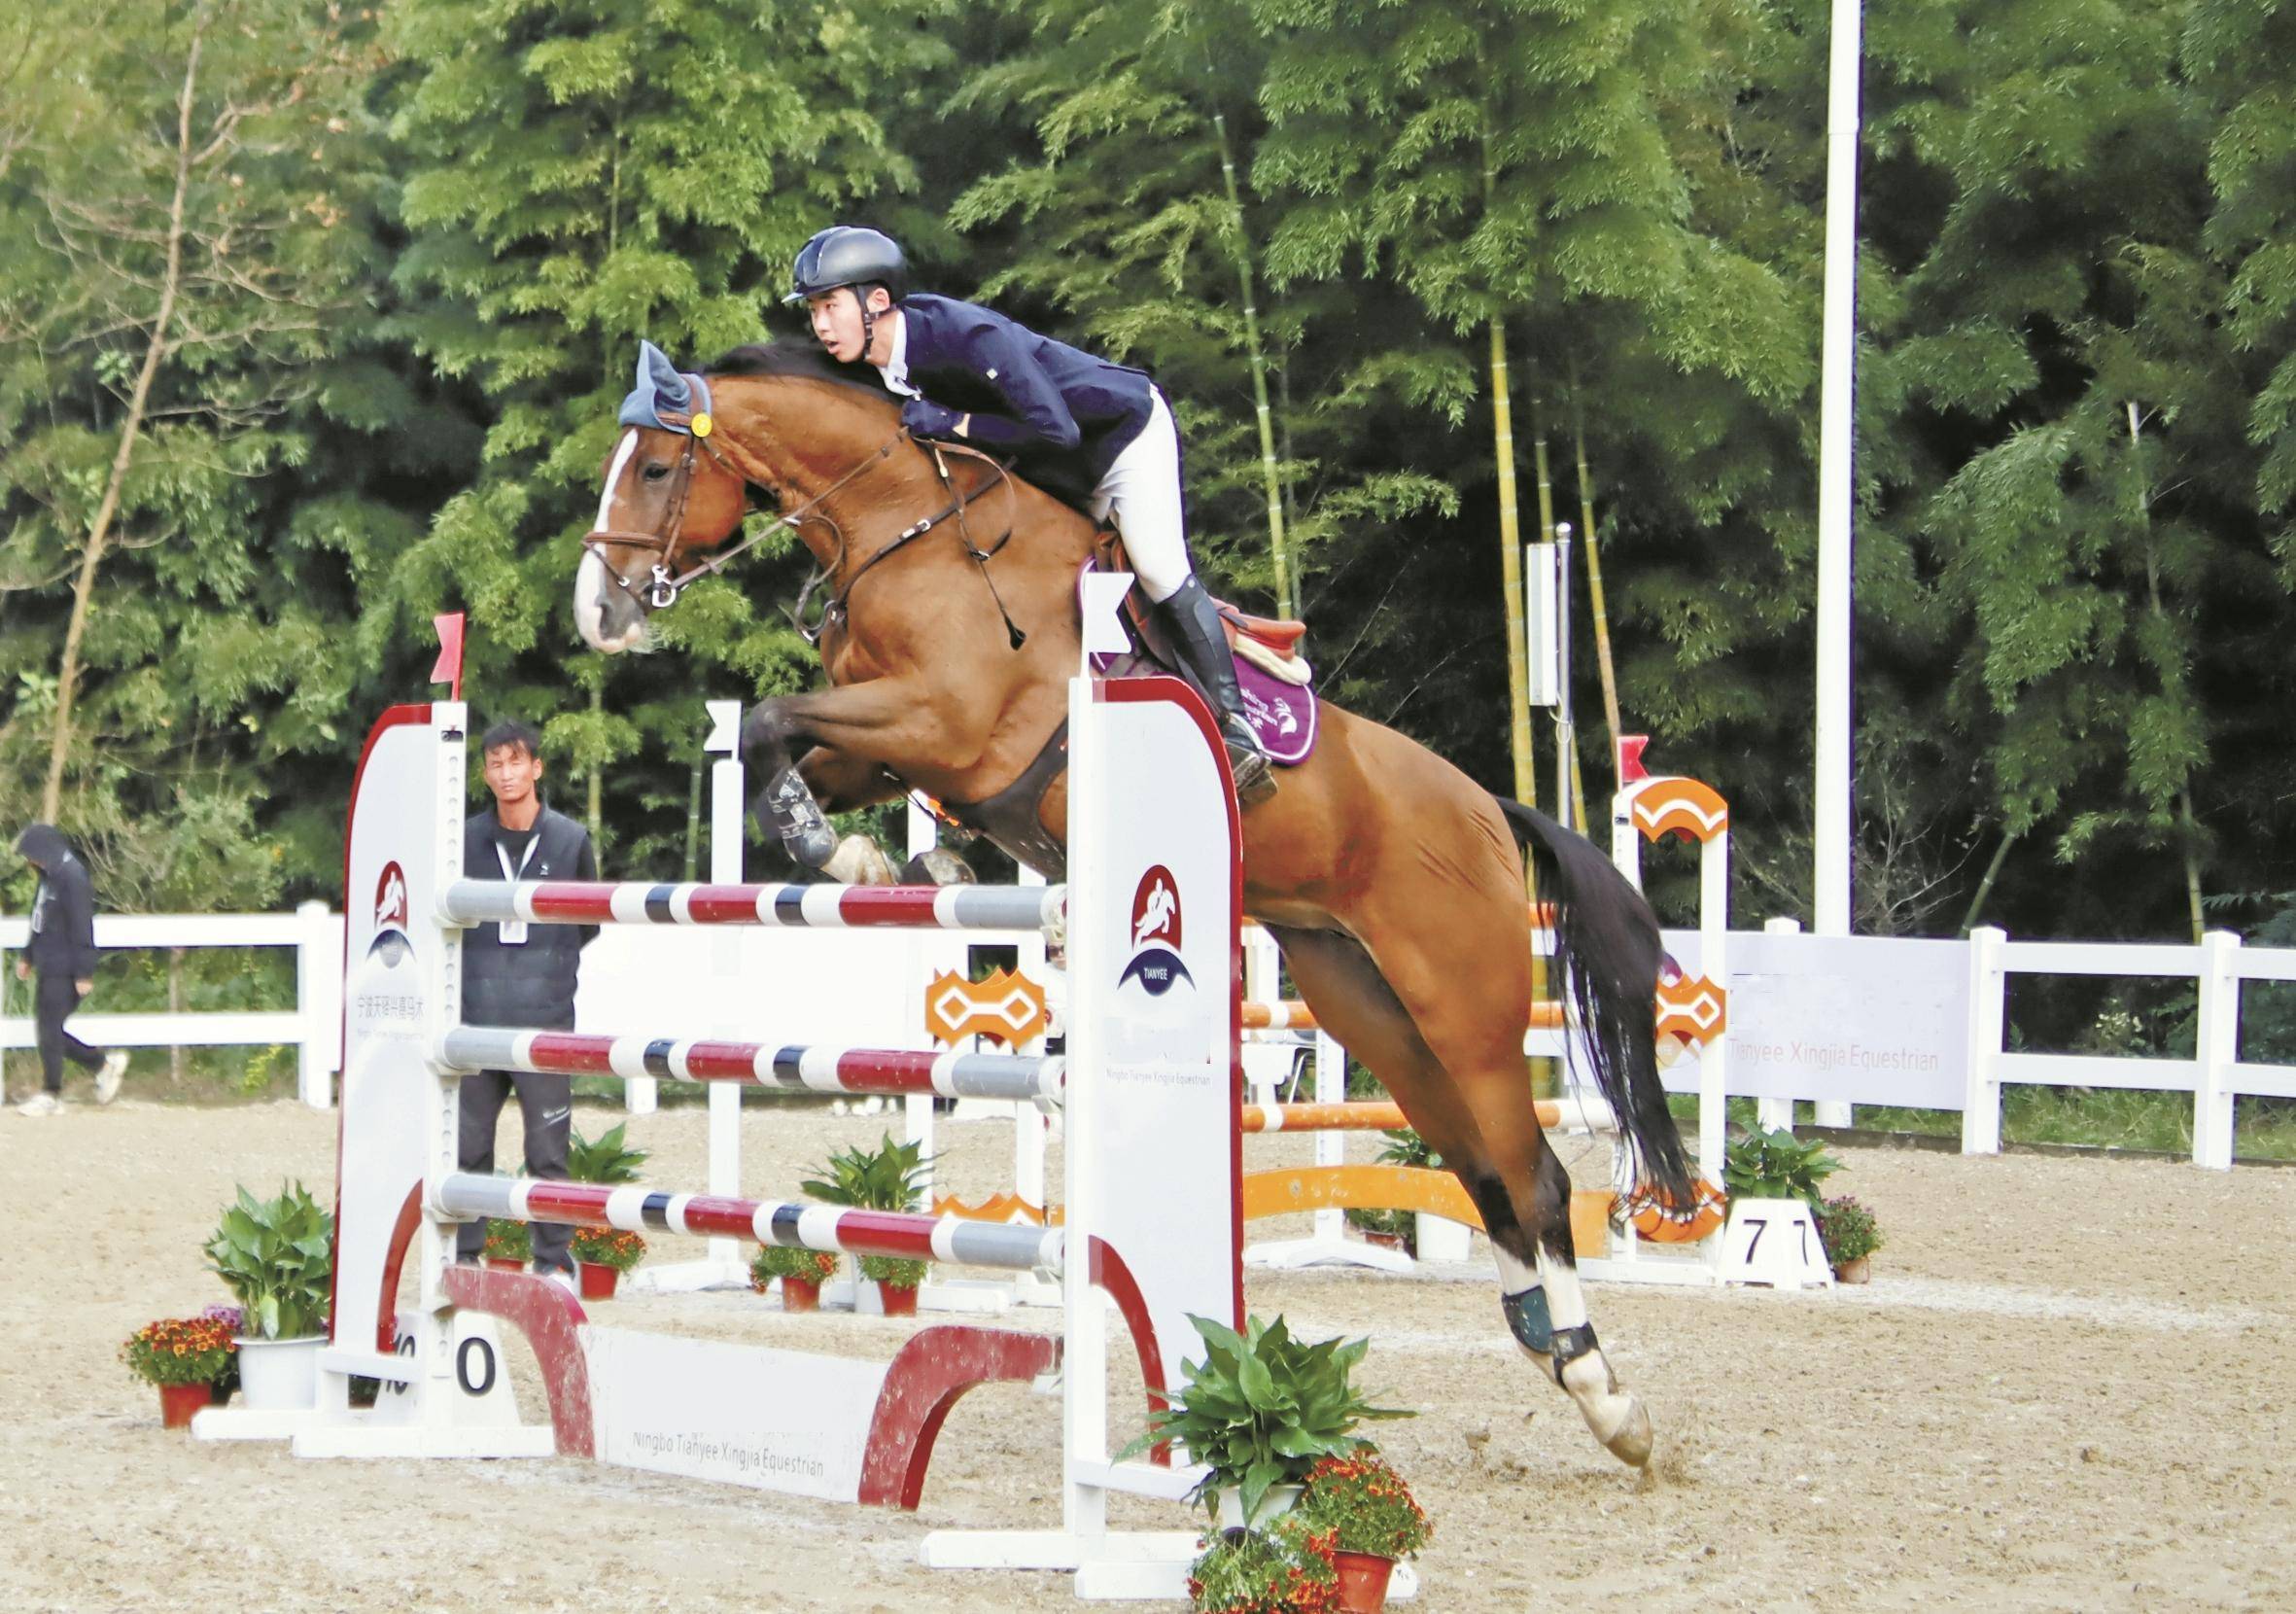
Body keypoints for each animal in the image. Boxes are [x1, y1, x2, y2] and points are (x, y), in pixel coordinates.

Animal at [574, 339, 1696, 1468]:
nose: (598, 613)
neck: (903, 529)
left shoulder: (942, 720)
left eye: (657, 469)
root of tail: (1486, 810)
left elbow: (770, 718)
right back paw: (1549, 1349)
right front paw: (887, 860)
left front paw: (846, 851)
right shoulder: (887, 743)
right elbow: (790, 746)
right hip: (1370, 1006)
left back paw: (1607, 1396)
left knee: (1534, 1175)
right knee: (1481, 1171)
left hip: (1466, 1009)